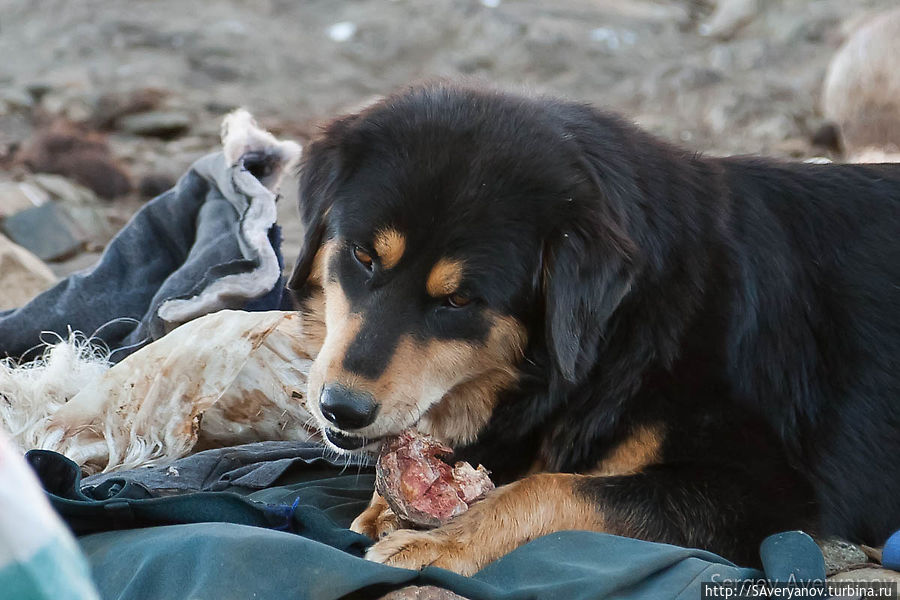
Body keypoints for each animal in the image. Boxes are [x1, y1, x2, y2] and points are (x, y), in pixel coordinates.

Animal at [288, 82, 900, 576]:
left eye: (459, 299)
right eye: (364, 257)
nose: (341, 409)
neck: (622, 335)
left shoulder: (768, 498)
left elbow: (552, 489)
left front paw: (447, 541)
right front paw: (387, 507)